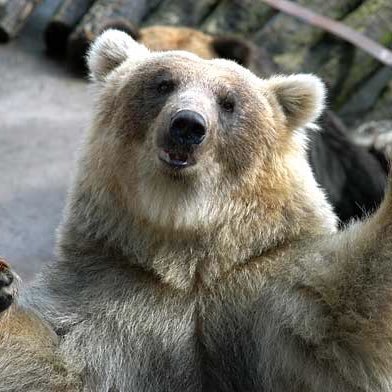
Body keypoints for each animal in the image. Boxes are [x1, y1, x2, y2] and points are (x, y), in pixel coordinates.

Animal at [0, 29, 392, 390]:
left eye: (228, 102)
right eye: (163, 83)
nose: (187, 125)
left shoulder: (270, 290)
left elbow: (346, 317)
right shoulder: (109, 293)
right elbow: (54, 367)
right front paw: (4, 283)